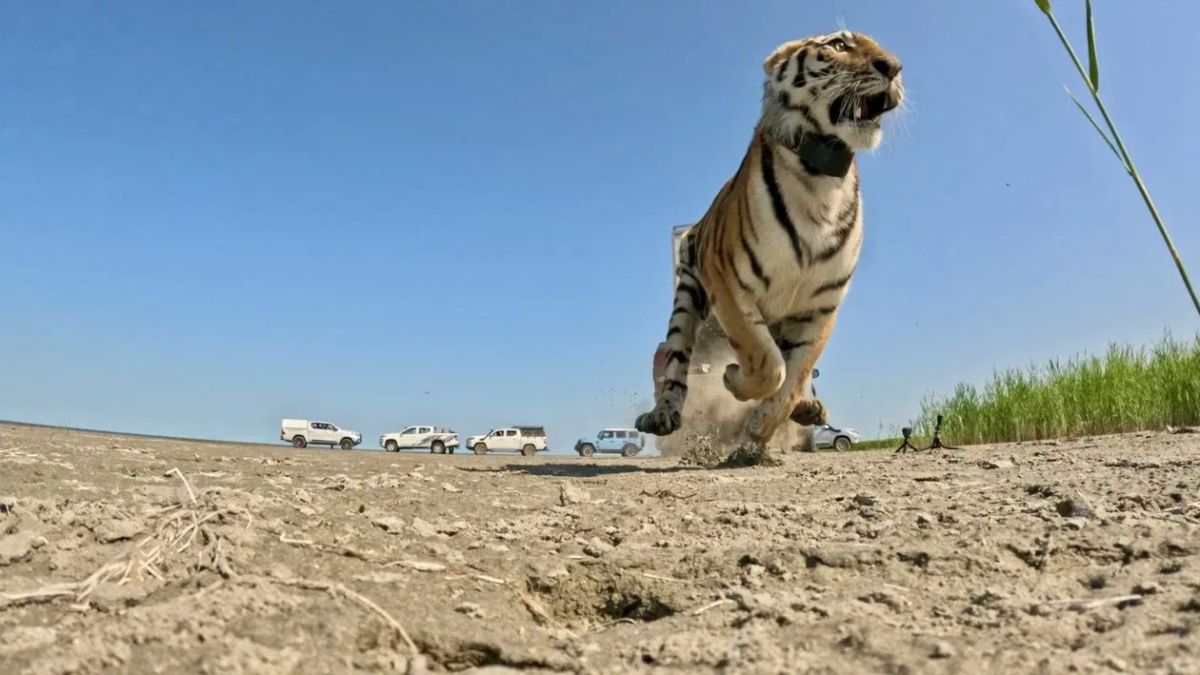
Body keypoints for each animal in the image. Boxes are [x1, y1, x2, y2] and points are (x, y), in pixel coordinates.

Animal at [635, 30, 904, 449]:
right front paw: (733, 379)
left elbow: (795, 373)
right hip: (688, 297)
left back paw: (806, 408)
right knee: (678, 362)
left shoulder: (821, 305)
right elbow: (766, 362)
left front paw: (765, 423)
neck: (820, 179)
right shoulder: (727, 285)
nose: (893, 67)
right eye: (839, 44)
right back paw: (663, 414)